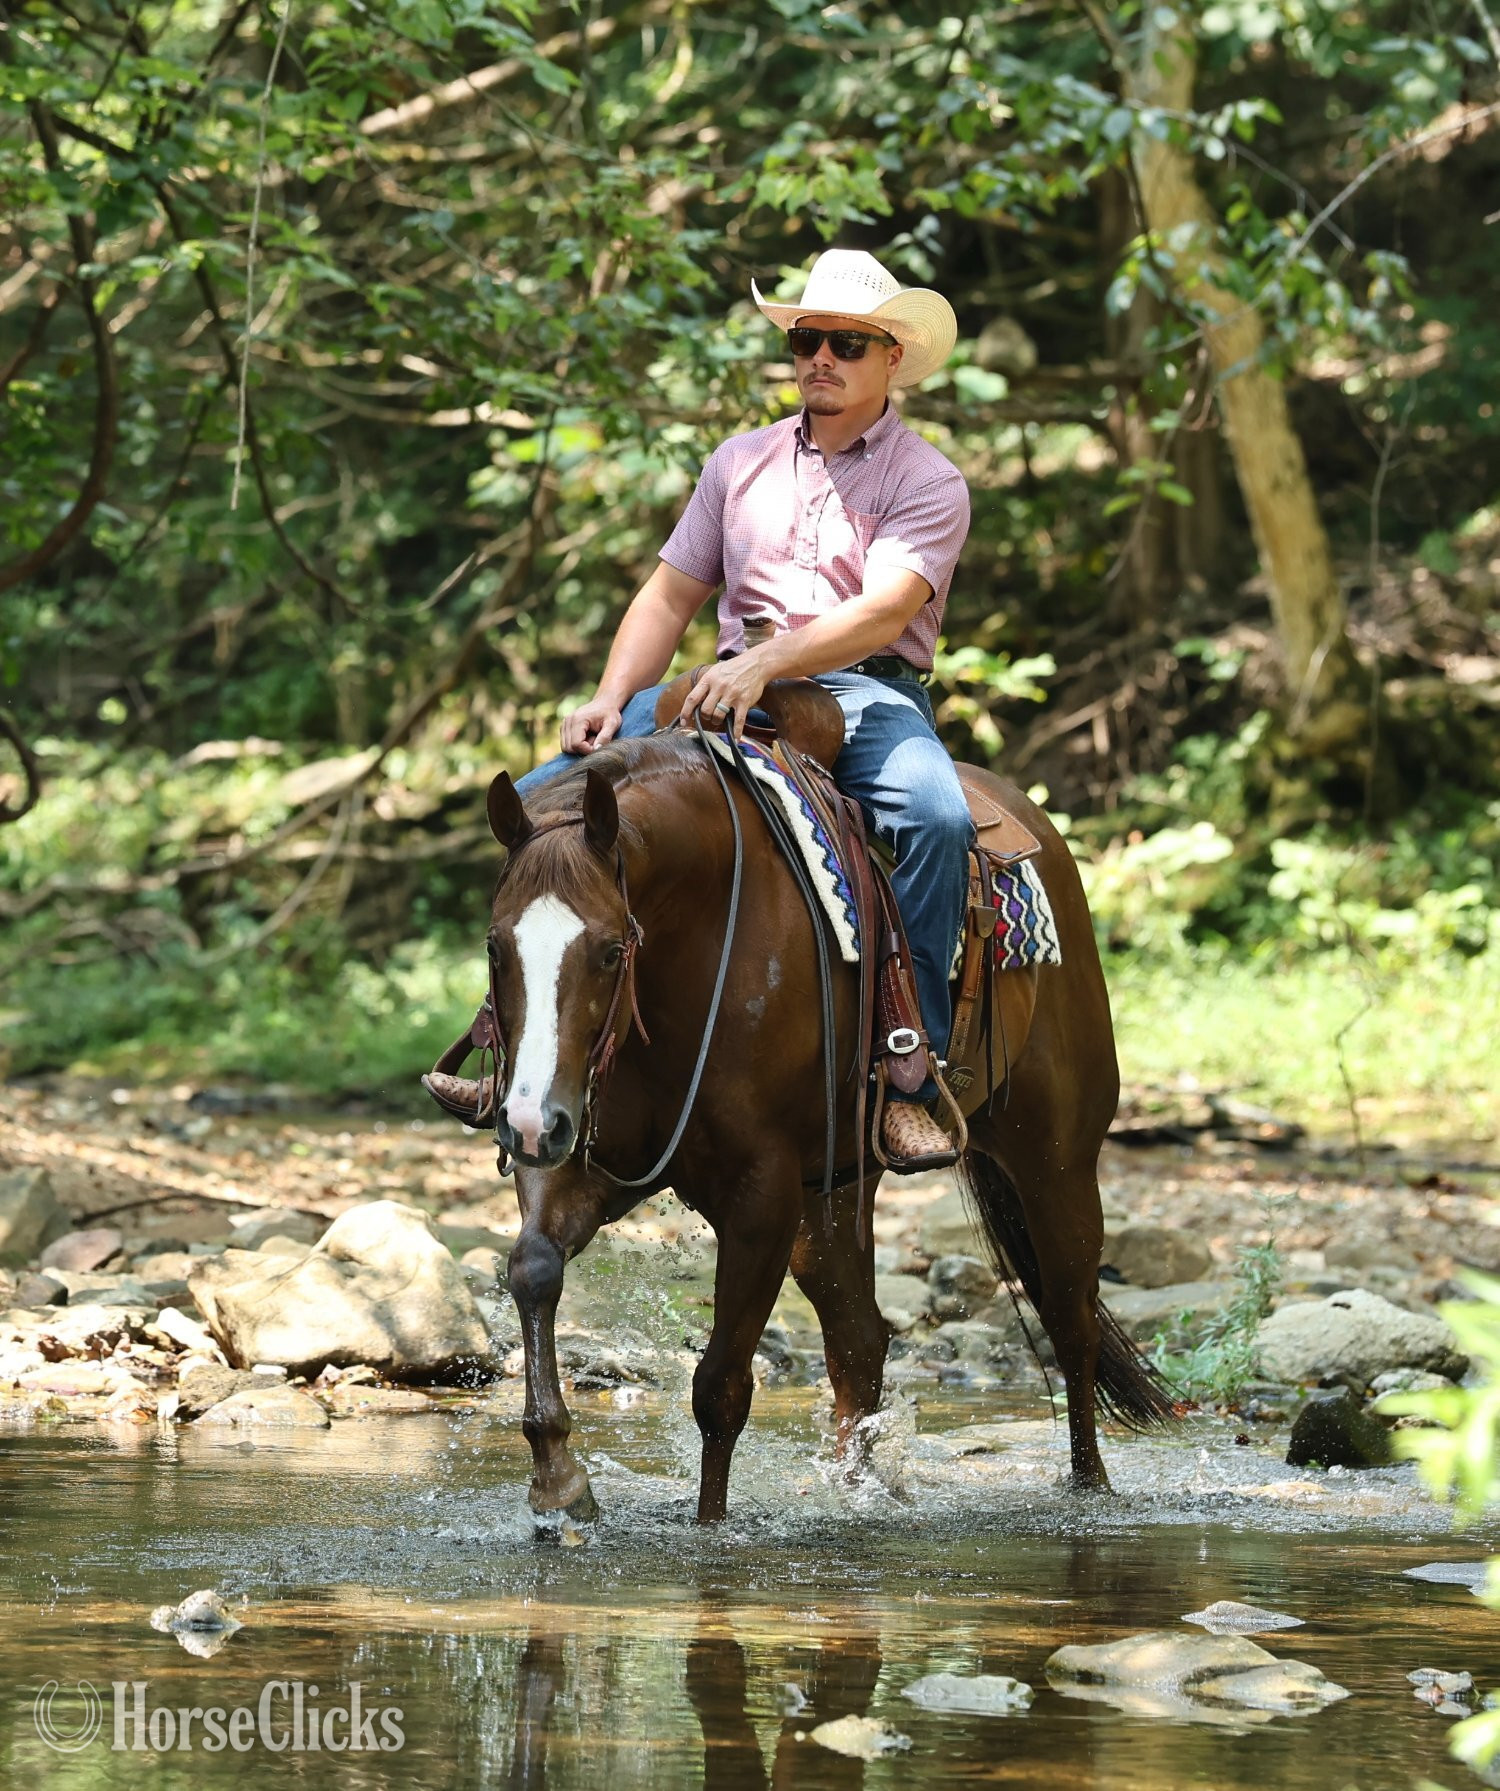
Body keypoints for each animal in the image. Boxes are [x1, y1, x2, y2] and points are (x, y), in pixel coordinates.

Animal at [467, 716, 1170, 1525]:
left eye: (612, 950)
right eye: (495, 946)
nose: (526, 1124)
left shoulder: (761, 1194)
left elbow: (720, 1387)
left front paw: (708, 1529)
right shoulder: (587, 1156)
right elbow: (534, 1267)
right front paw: (558, 1478)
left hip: (1056, 1159)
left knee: (1070, 1320)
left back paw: (1090, 1487)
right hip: (835, 1191)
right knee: (860, 1342)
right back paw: (858, 1490)